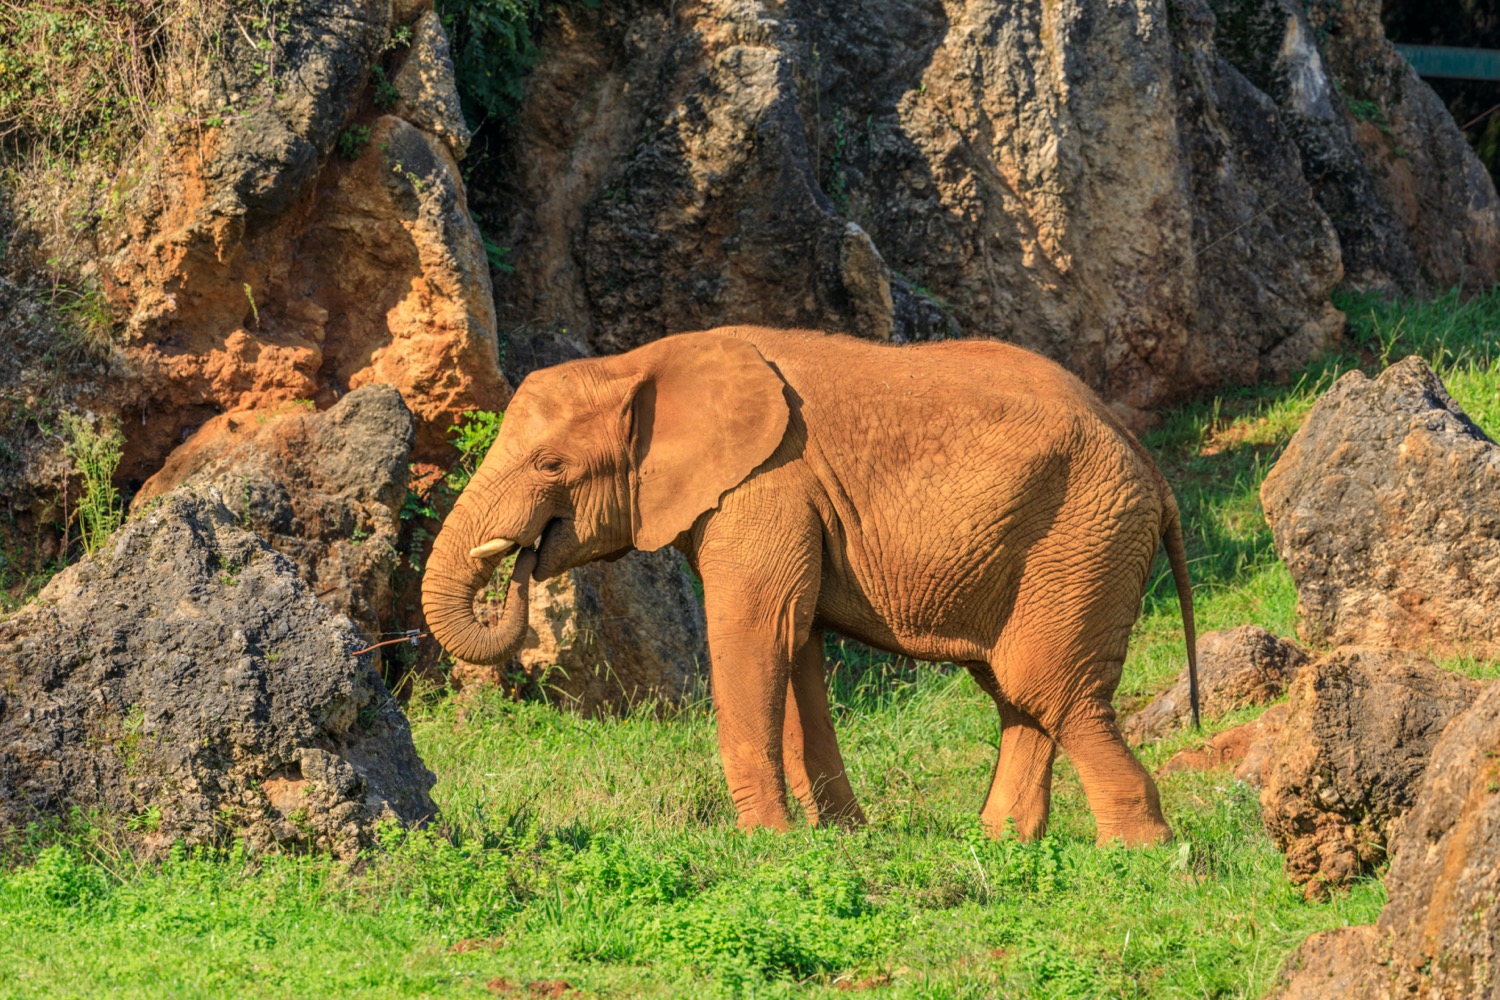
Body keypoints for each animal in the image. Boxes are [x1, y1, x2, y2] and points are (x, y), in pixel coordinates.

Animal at [420, 328, 1194, 845]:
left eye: (550, 465)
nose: (521, 560)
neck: (639, 361)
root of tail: (1154, 471)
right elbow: (797, 646)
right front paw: (842, 839)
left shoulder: (767, 483)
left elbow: (756, 633)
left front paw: (769, 846)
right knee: (1018, 693)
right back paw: (1001, 844)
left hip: (1082, 537)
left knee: (1051, 689)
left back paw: (1138, 856)